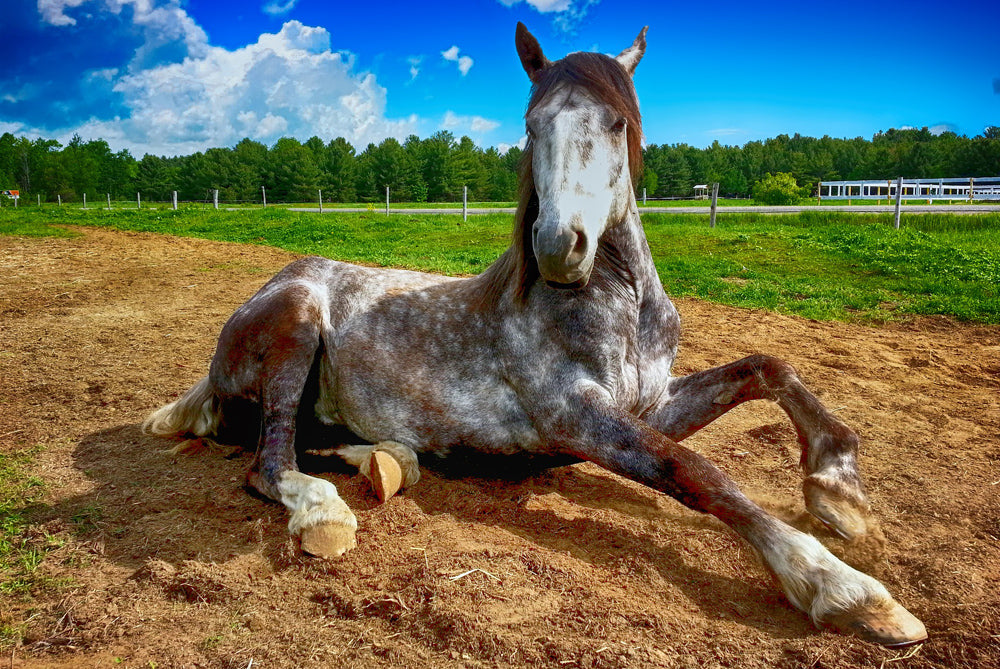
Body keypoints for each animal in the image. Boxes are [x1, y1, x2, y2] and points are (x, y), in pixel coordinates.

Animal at [143, 23, 926, 647]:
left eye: (617, 123)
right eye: (530, 124)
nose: (559, 247)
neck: (618, 306)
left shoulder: (651, 402)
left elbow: (770, 367)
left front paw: (839, 493)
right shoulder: (577, 418)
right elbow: (696, 471)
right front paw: (847, 590)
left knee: (314, 440)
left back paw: (389, 461)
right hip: (299, 322)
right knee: (269, 460)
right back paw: (323, 512)